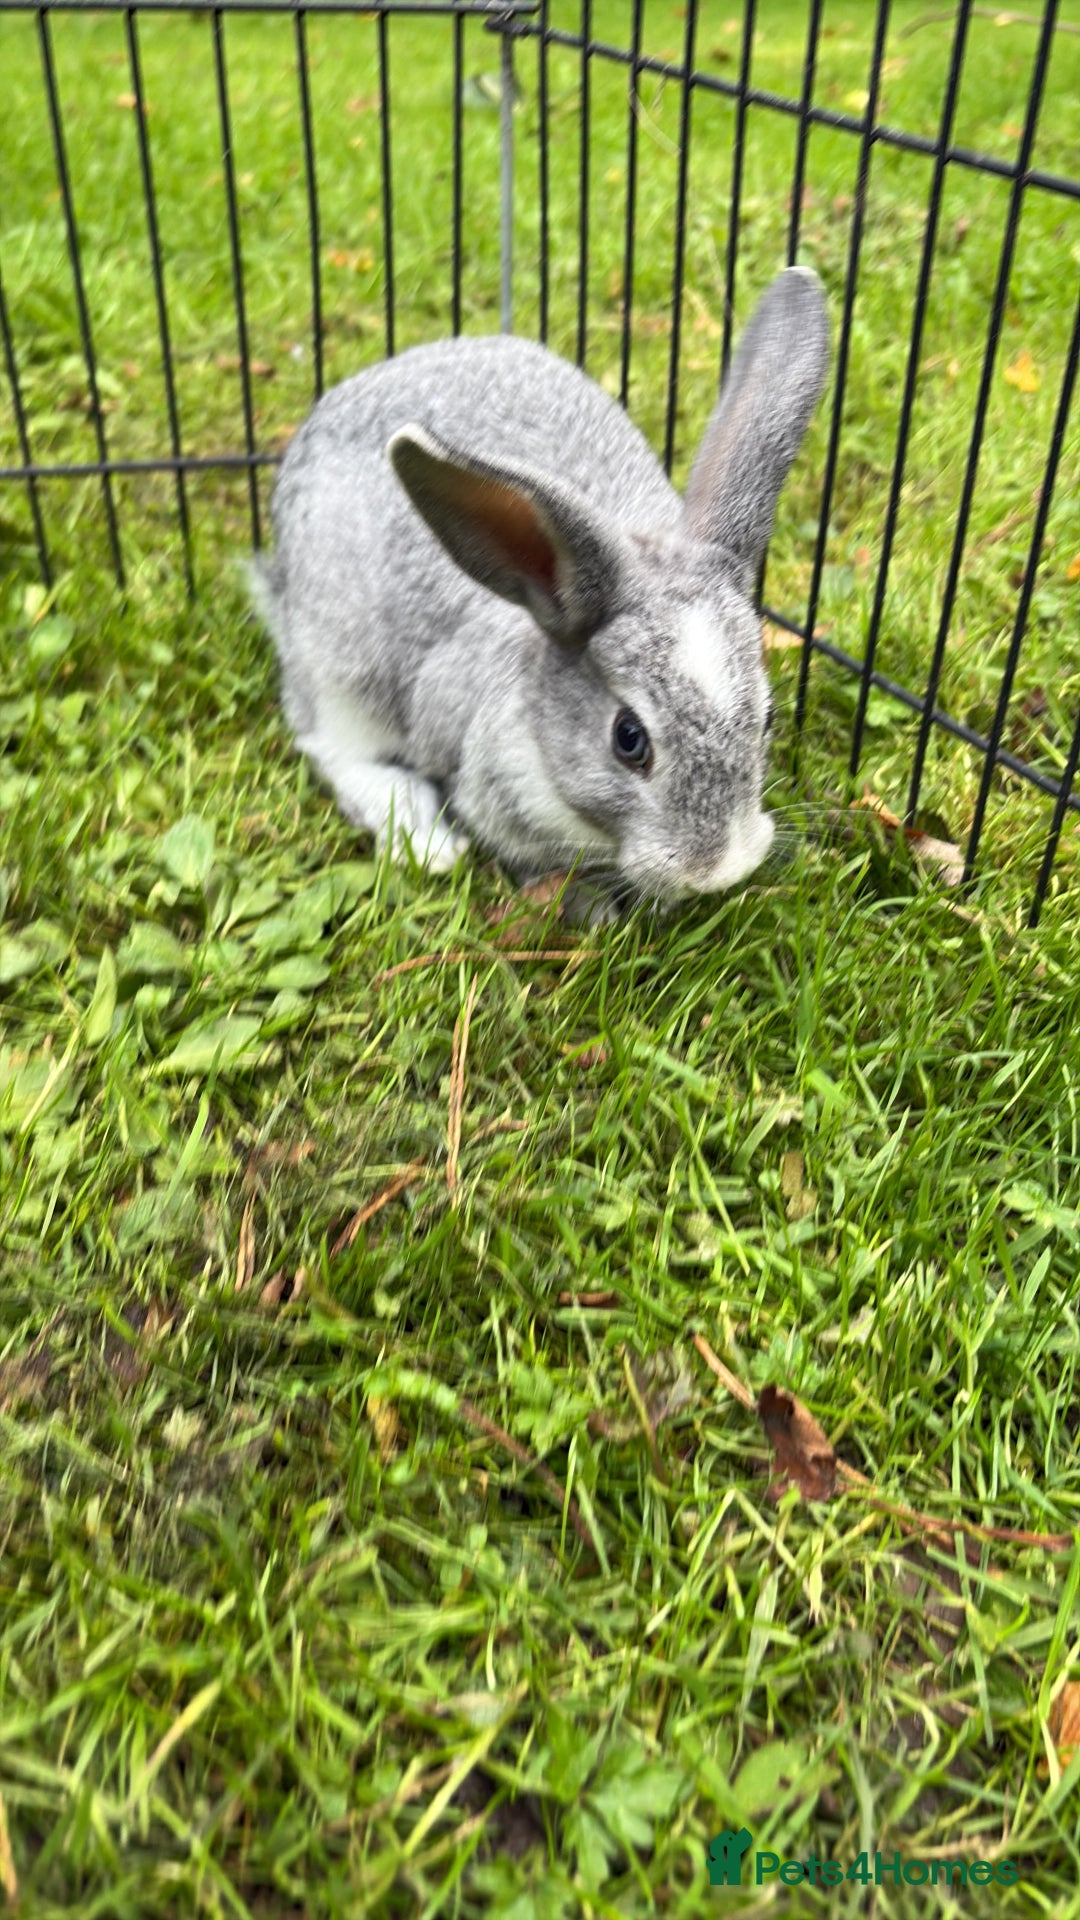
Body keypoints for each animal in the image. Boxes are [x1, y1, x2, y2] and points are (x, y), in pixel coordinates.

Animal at [251, 266, 829, 906]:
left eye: (768, 719)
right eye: (629, 739)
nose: (716, 870)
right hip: (340, 666)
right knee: (330, 747)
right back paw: (428, 844)